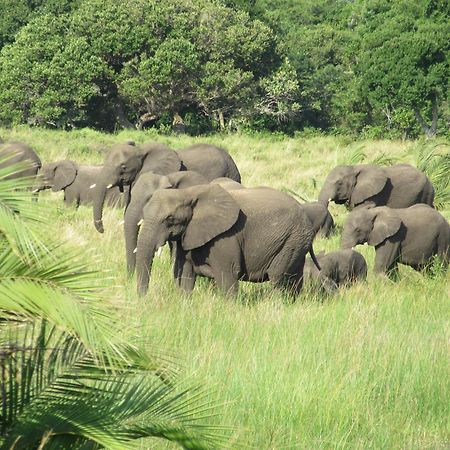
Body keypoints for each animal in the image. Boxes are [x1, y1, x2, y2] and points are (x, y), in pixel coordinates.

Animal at [135, 185, 322, 298]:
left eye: (170, 219)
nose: (143, 300)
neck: (189, 193)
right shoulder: (188, 236)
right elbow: (186, 276)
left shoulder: (225, 238)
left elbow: (228, 276)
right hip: (297, 242)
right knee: (294, 279)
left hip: (290, 240)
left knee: (278, 278)